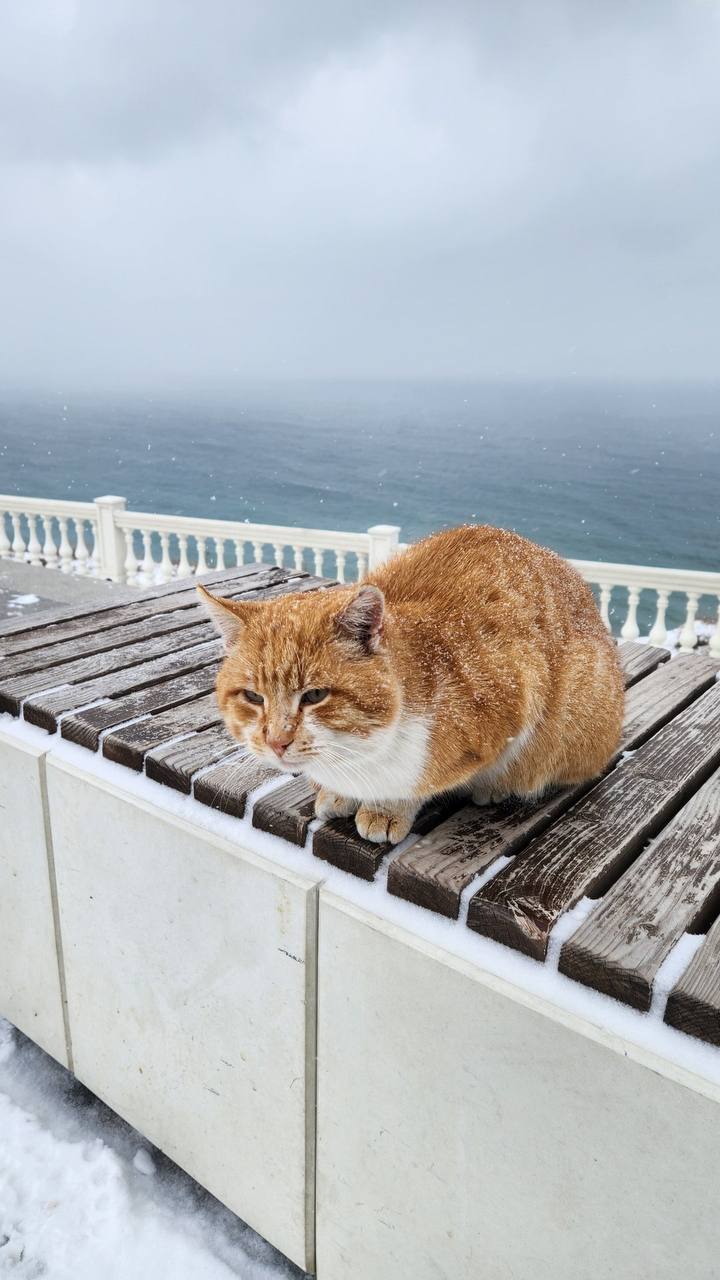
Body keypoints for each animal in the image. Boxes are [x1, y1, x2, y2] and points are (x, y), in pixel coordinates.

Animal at [197, 524, 622, 844]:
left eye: (315, 695)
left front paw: (386, 810)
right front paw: (337, 794)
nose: (276, 742)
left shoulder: (510, 702)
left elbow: (418, 782)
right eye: (253, 696)